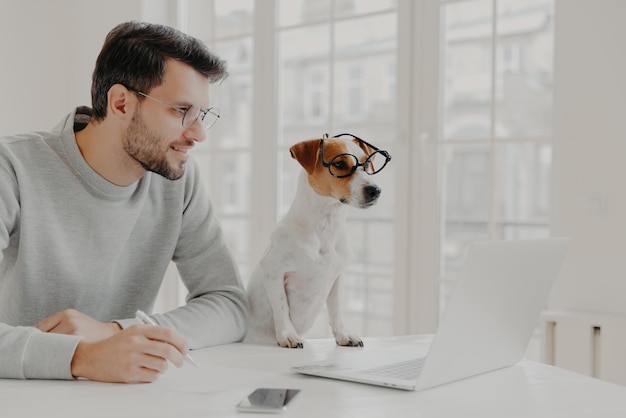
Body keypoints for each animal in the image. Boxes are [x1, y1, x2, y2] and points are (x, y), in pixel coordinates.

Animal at [245, 132, 388, 348]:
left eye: (367, 163)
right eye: (340, 164)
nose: (375, 190)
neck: (325, 228)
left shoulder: (338, 277)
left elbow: (336, 310)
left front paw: (343, 334)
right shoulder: (273, 270)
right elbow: (281, 306)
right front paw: (288, 335)